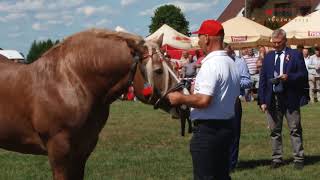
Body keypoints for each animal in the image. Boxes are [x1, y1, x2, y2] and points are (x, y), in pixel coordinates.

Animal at [0, 28, 180, 179]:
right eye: (158, 70)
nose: (182, 101)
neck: (70, 82)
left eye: (172, 63)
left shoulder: (81, 154)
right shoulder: (59, 154)